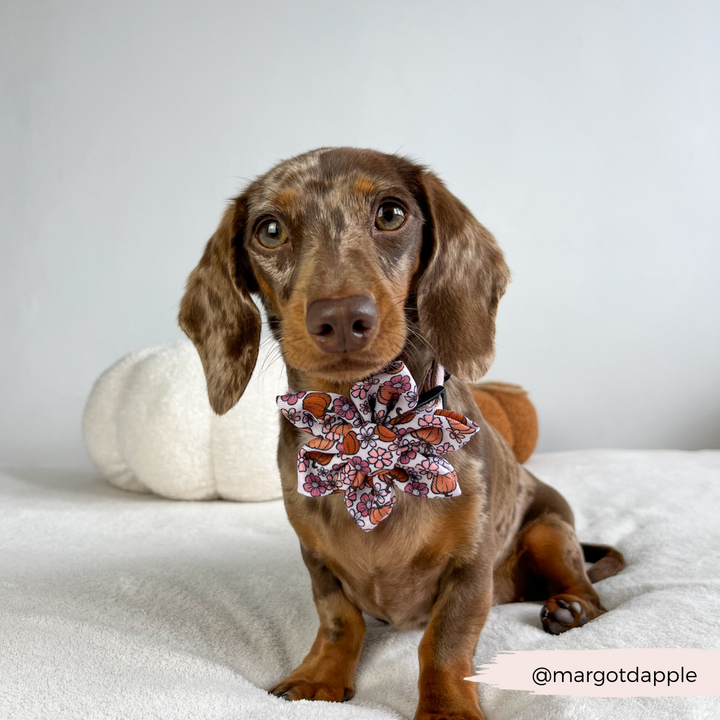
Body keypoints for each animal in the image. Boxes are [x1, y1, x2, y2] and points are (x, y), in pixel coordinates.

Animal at [177, 148, 620, 720]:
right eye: (269, 230)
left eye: (391, 214)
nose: (342, 317)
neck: (365, 423)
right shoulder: (316, 558)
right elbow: (340, 620)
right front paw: (318, 678)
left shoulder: (470, 566)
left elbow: (445, 640)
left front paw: (446, 707)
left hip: (548, 530)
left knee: (589, 589)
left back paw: (570, 608)